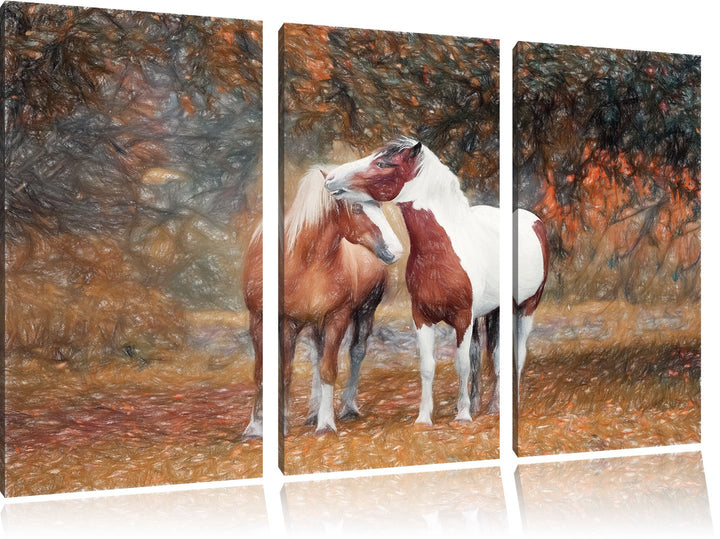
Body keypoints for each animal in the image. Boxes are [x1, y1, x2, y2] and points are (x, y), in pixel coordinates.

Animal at [242, 167, 402, 438]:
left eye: (378, 204)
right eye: (356, 207)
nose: (396, 250)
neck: (304, 261)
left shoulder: (336, 317)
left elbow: (329, 369)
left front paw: (326, 424)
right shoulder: (274, 321)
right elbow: (270, 372)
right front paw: (259, 426)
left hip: (364, 311)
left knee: (356, 352)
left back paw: (347, 408)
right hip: (312, 324)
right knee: (316, 357)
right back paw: (311, 413)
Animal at [324, 137, 548, 424]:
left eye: (383, 163)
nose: (330, 178)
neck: (441, 250)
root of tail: (534, 222)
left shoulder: (463, 317)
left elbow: (461, 364)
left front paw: (462, 416)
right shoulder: (422, 317)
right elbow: (429, 366)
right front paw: (424, 418)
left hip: (525, 308)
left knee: (515, 356)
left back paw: (505, 405)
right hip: (490, 312)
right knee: (486, 356)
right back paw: (486, 406)